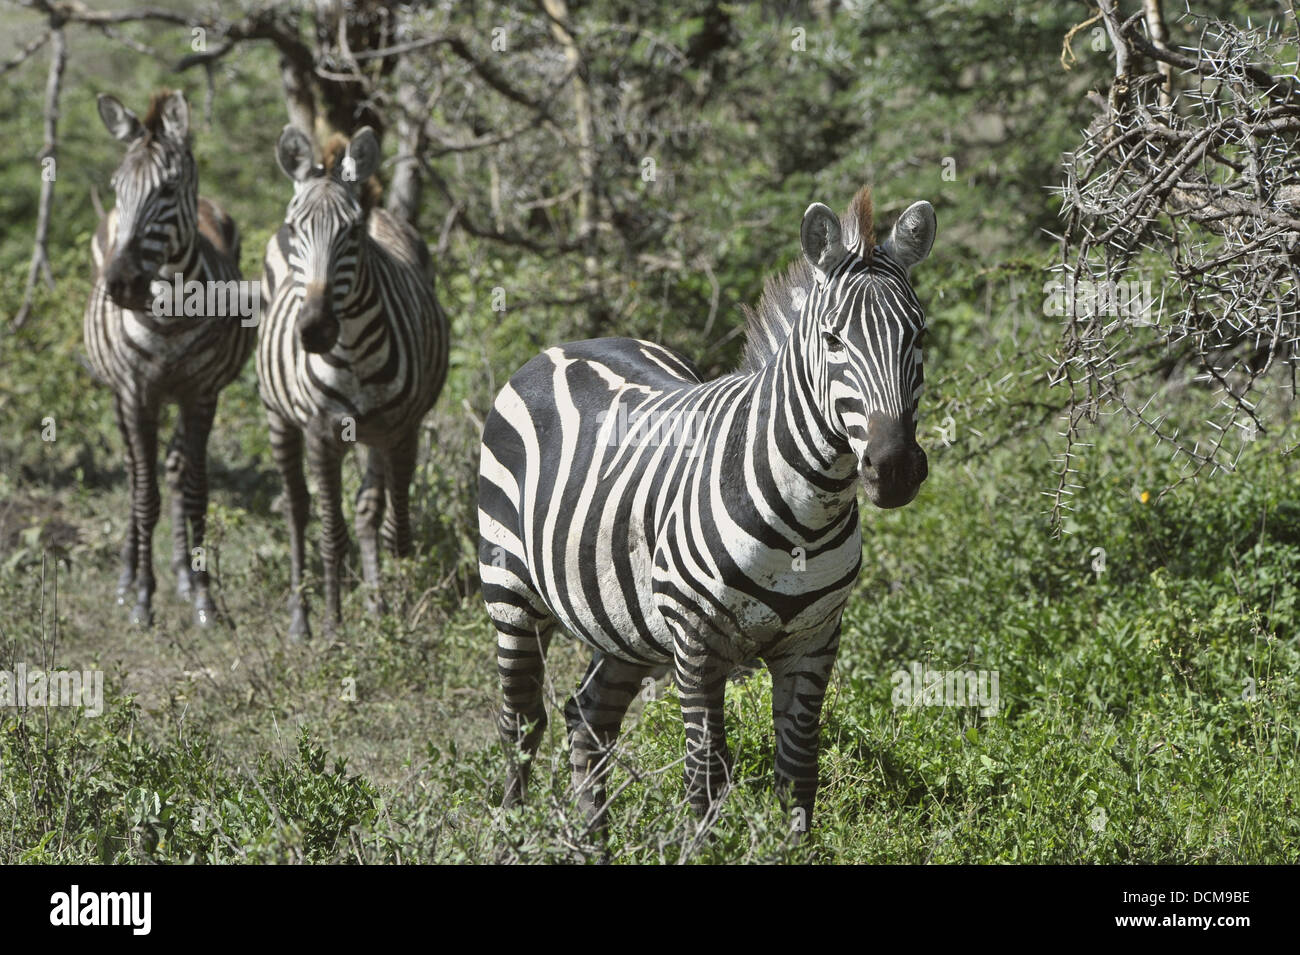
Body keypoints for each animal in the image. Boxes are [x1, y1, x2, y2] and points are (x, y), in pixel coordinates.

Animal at [85, 89, 254, 628]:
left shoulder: (200, 394)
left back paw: (181, 572)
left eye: (168, 187)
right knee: (134, 471)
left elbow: (195, 489)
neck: (170, 315)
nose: (122, 284)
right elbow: (145, 494)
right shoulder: (138, 393)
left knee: (177, 469)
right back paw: (126, 576)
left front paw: (202, 597)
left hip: (179, 395)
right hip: (121, 394)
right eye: (117, 187)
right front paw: (142, 597)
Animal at [259, 125, 450, 640]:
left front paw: (405, 613)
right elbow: (331, 533)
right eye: (295, 230)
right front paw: (332, 626)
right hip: (278, 416)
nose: (315, 330)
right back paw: (300, 619)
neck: (355, 353)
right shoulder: (321, 434)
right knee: (297, 507)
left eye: (352, 231)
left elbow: (393, 527)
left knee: (367, 512)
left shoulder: (401, 430)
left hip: (374, 434)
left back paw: (377, 605)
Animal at [478, 186, 937, 839]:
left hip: (625, 625)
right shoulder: (696, 643)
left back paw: (594, 844)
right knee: (520, 723)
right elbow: (706, 778)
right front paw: (704, 845)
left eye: (918, 336)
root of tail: (567, 346)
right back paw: (518, 836)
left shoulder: (815, 640)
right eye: (833, 341)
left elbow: (799, 774)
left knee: (588, 718)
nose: (894, 467)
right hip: (511, 594)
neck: (807, 516)